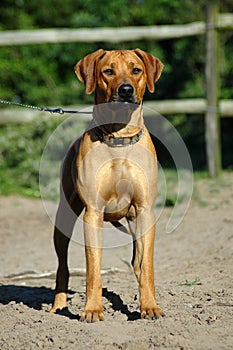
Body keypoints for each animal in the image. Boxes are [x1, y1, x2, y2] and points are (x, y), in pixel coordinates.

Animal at [50, 49, 164, 322]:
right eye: (108, 71)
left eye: (136, 70)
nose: (126, 90)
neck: (118, 139)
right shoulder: (93, 212)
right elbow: (93, 268)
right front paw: (92, 309)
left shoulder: (145, 209)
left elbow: (146, 266)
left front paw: (149, 306)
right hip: (63, 217)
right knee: (62, 266)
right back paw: (58, 306)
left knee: (138, 261)